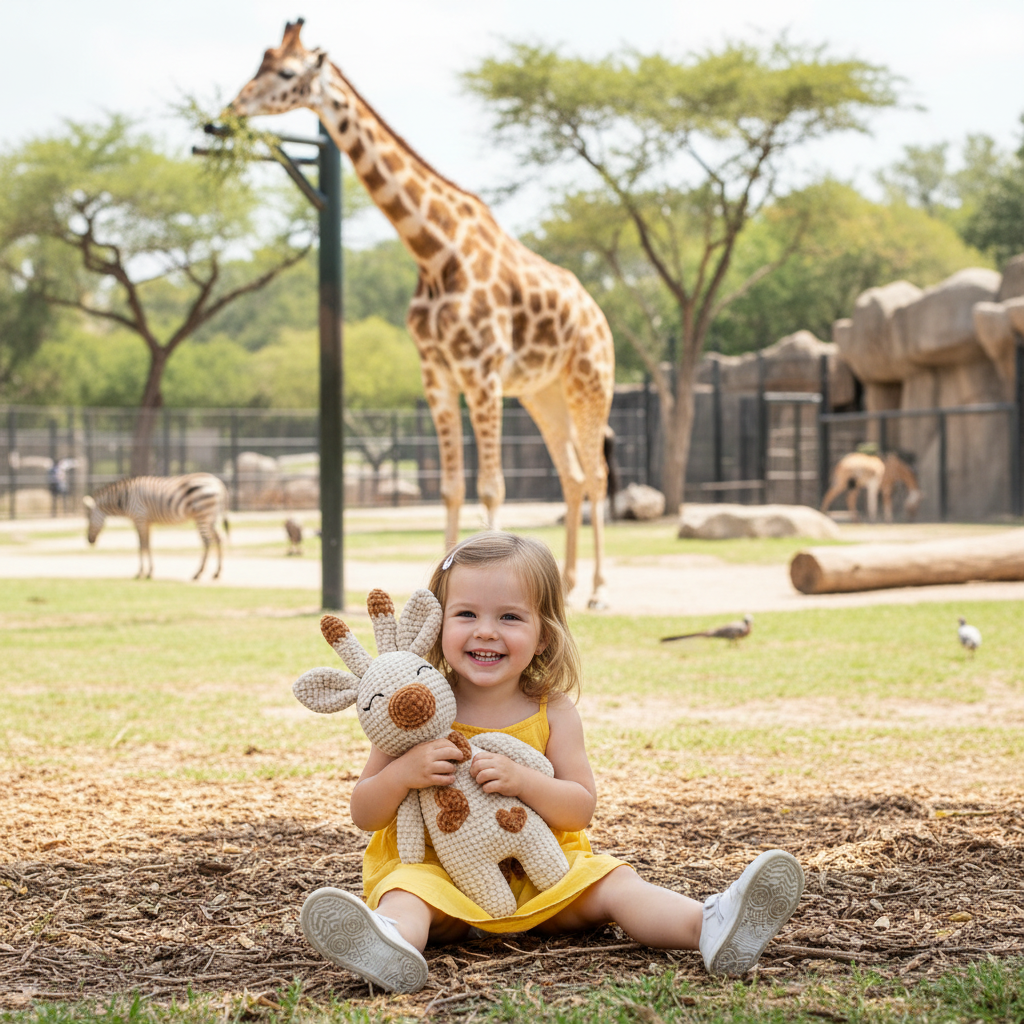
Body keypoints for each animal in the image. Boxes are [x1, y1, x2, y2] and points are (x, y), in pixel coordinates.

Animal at [228, 19, 615, 607]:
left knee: (596, 474)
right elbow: (451, 487)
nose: (233, 106)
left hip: (588, 382)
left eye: (288, 73)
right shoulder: (436, 373)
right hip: (543, 394)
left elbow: (490, 486)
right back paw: (567, 585)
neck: (434, 250)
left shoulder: (480, 371)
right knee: (571, 475)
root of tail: (598, 314)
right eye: (260, 64)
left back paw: (596, 589)